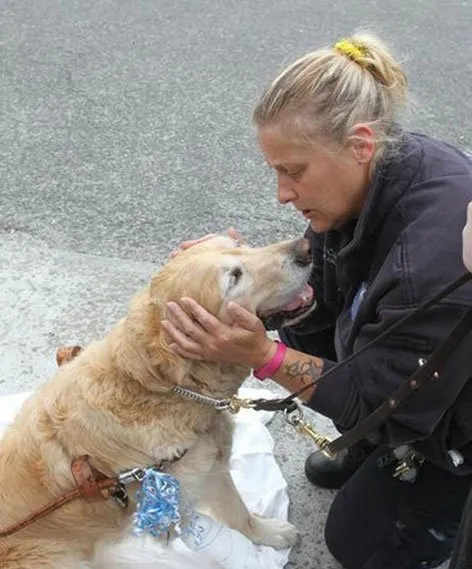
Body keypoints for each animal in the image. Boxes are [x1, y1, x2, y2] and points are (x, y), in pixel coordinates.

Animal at [0, 235, 318, 568]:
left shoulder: (211, 465)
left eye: (239, 244)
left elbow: (239, 512)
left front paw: (268, 533)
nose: (306, 247)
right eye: (234, 277)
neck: (160, 388)